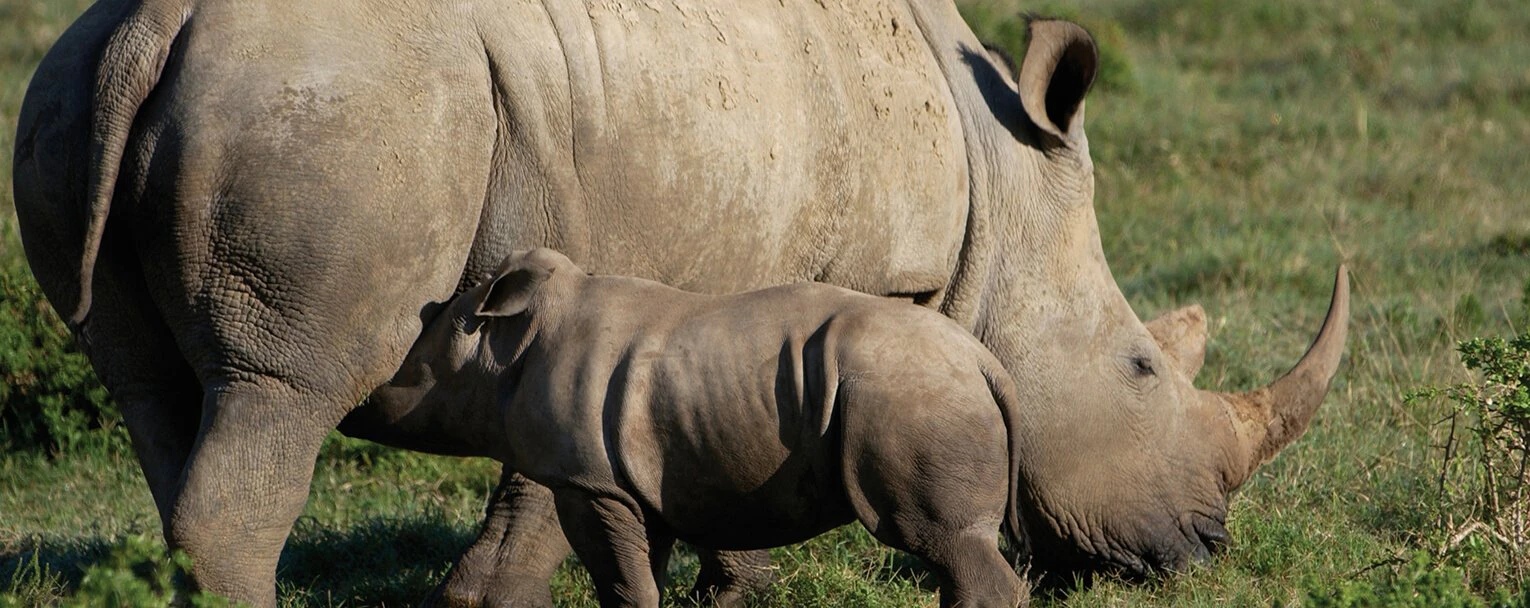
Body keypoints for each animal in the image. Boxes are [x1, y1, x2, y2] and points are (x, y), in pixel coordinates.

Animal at [373, 247, 1034, 608]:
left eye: (414, 366)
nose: (371, 403)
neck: (507, 343)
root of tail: (985, 362)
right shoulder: (634, 479)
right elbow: (639, 576)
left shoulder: (588, 481)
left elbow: (620, 582)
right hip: (925, 391)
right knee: (952, 549)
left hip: (916, 396)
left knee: (939, 539)